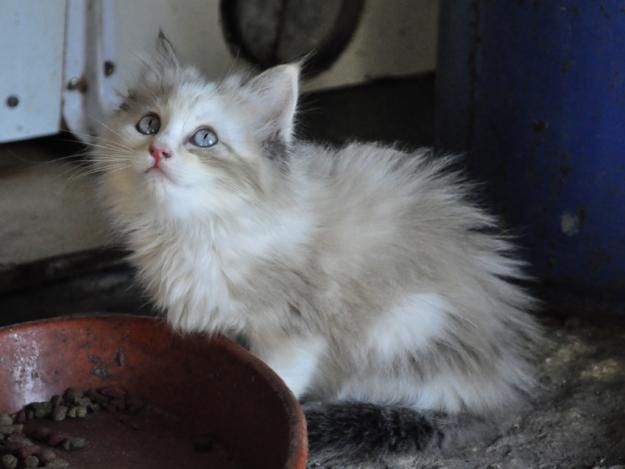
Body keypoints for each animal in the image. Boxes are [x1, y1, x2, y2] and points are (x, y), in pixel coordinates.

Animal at [94, 36, 540, 464]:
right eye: (149, 124)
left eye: (205, 139)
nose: (158, 151)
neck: (196, 227)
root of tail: (504, 387)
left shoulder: (292, 331)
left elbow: (278, 381)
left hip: (404, 327)